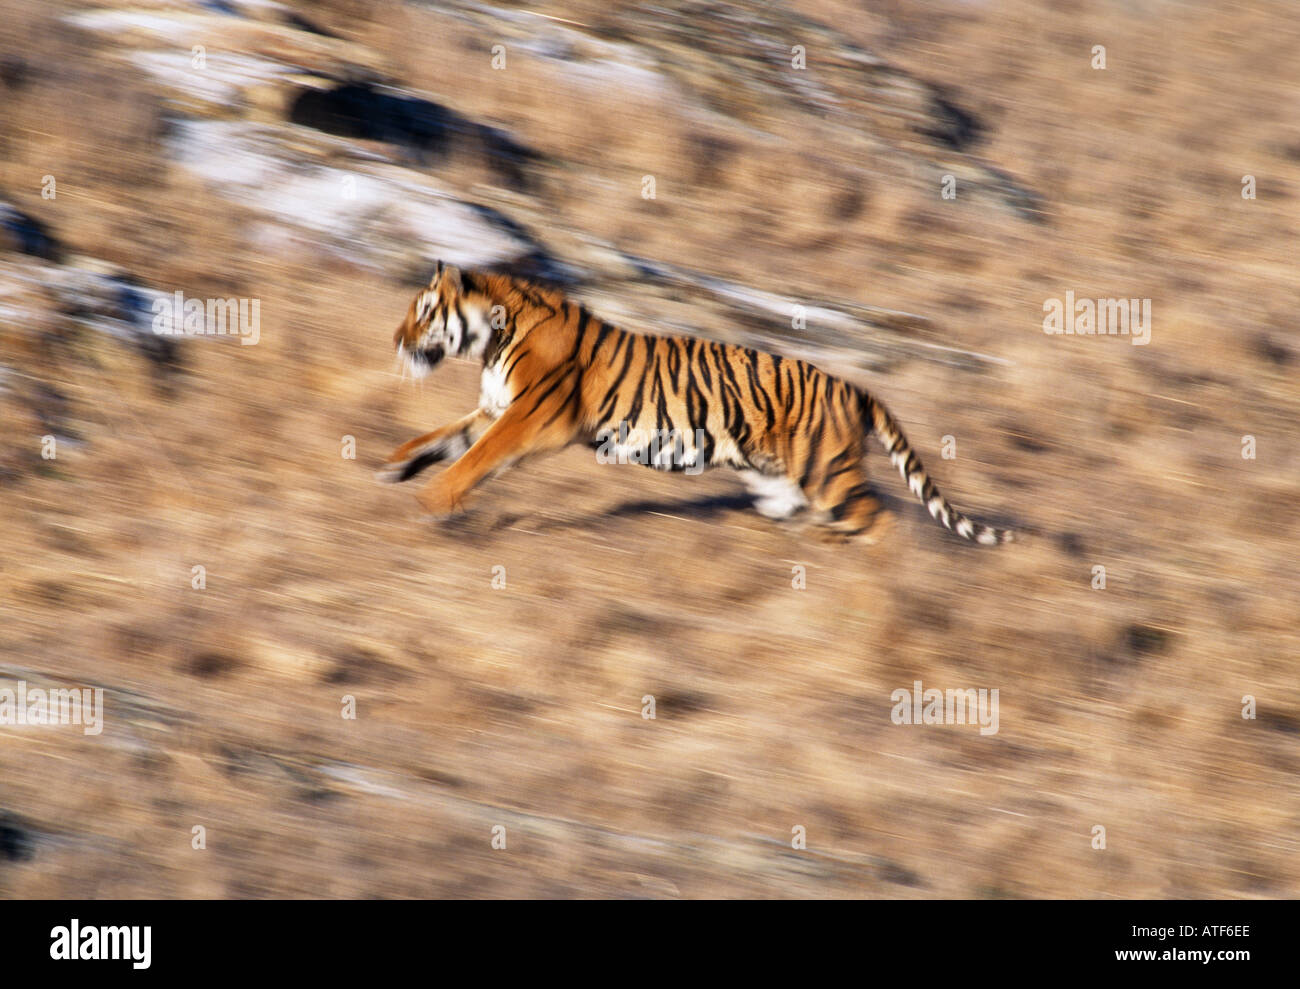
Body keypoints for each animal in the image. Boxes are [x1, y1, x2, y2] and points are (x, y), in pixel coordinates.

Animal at [379, 262, 1008, 543]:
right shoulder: (494, 410)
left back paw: (880, 599)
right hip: (780, 487)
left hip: (826, 471)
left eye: (424, 312)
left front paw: (432, 503)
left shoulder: (530, 420)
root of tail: (854, 386)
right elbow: (442, 438)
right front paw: (394, 465)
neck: (491, 342)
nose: (395, 341)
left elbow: (474, 460)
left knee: (881, 525)